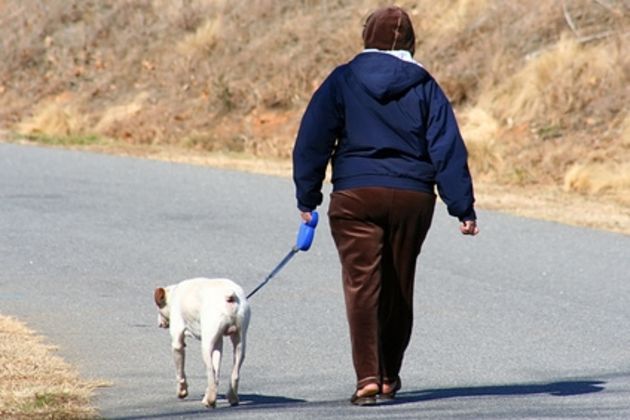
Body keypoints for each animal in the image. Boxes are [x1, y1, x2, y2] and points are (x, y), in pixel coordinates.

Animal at [154, 278, 252, 408]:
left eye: (159, 308)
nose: (159, 324)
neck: (174, 293)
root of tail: (230, 295)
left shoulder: (177, 343)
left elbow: (180, 373)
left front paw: (182, 391)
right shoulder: (218, 343)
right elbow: (216, 370)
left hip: (206, 345)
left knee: (210, 372)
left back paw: (210, 400)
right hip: (240, 342)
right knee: (233, 372)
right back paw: (231, 398)